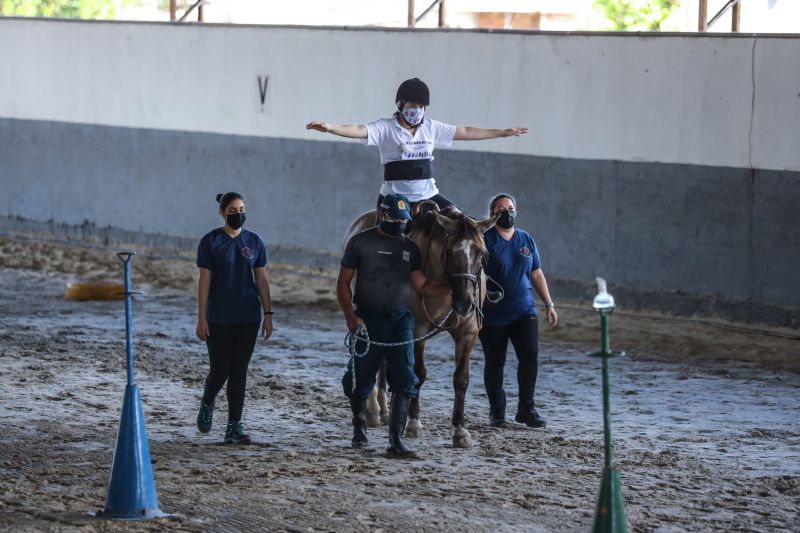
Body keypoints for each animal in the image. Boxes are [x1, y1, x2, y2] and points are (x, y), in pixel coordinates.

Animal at [342, 206, 496, 446]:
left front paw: (460, 430)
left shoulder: (467, 333)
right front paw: (413, 423)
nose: (464, 303)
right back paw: (374, 409)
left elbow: (461, 379)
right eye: (450, 251)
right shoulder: (417, 332)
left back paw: (384, 410)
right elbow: (418, 374)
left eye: (482, 253)